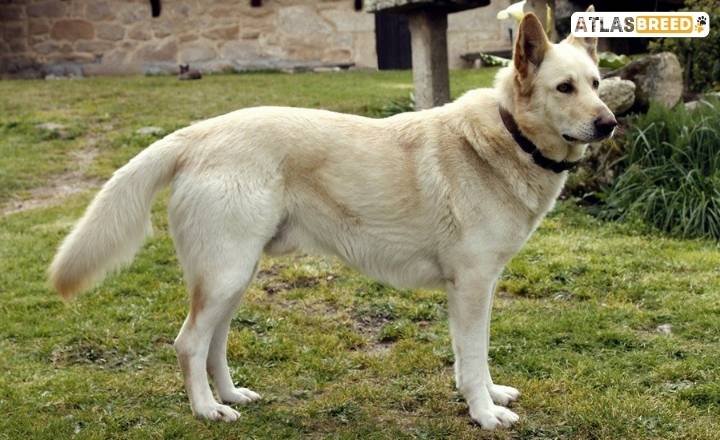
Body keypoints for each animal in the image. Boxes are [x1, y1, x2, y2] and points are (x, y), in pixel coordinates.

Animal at [49, 9, 612, 430]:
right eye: (564, 88)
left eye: (596, 83)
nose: (609, 123)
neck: (509, 136)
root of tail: (200, 133)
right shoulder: (470, 286)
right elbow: (473, 358)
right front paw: (485, 413)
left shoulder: (478, 289)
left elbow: (475, 356)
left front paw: (492, 395)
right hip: (226, 274)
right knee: (189, 343)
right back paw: (207, 410)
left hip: (235, 277)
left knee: (215, 343)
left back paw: (232, 395)